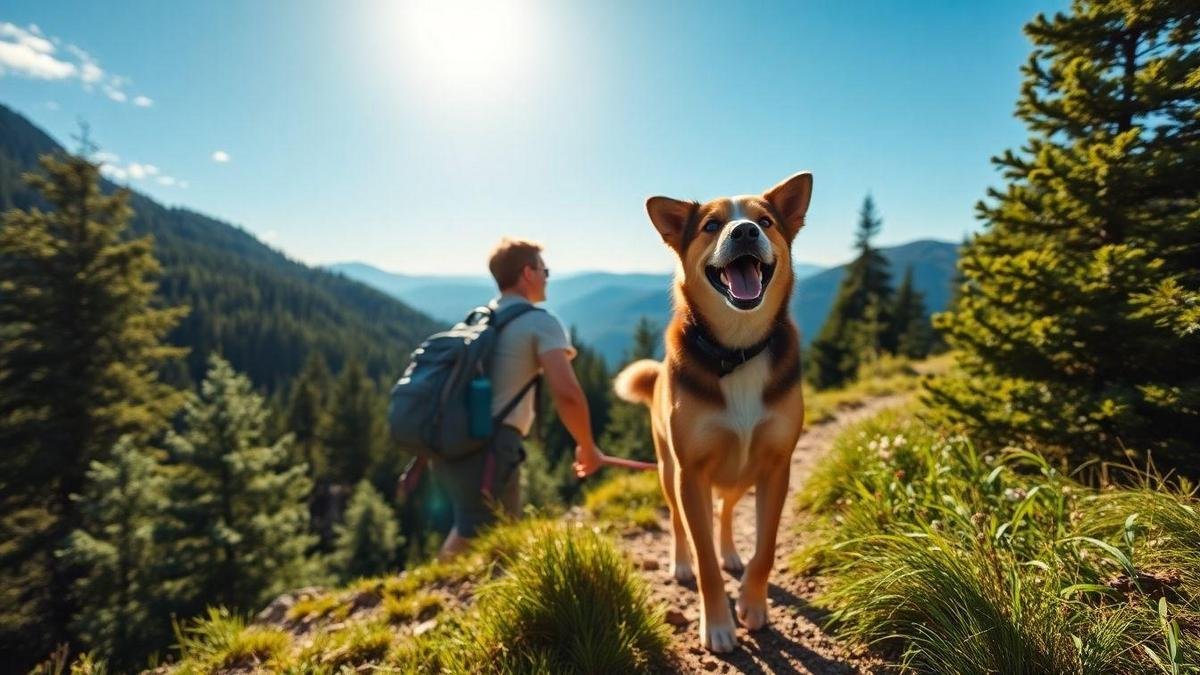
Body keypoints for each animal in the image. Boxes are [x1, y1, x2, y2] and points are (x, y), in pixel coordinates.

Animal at [614, 170, 811, 648]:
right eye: (710, 225)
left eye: (765, 221)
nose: (745, 231)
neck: (737, 351)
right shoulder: (691, 473)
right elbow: (704, 559)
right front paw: (719, 625)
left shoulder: (776, 466)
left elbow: (766, 547)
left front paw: (752, 605)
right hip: (668, 471)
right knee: (679, 521)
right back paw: (680, 562)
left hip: (741, 472)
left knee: (725, 510)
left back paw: (731, 553)